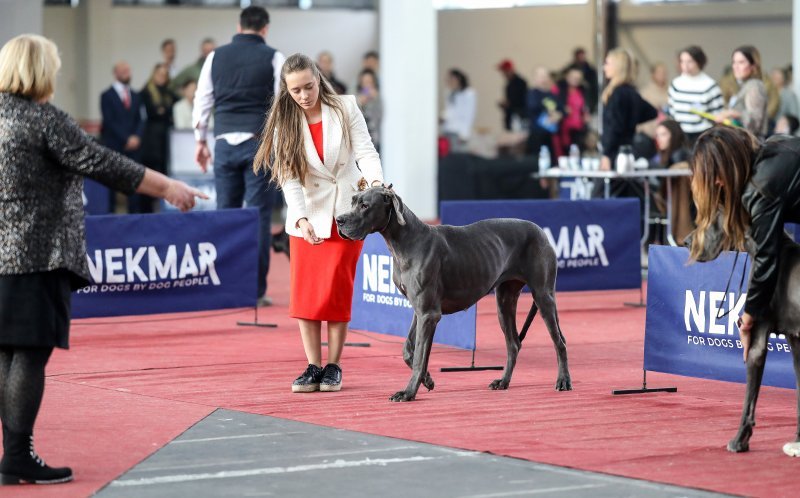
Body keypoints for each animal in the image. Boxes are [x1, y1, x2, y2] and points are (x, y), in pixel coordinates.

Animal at [334, 187, 572, 400]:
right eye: (353, 201)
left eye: (365, 206)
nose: (339, 220)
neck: (405, 241)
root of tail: (541, 231)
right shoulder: (420, 311)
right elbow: (408, 350)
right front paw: (427, 379)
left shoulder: (429, 313)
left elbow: (420, 356)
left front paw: (408, 392)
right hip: (504, 302)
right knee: (513, 344)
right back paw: (503, 381)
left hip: (543, 296)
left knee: (559, 342)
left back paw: (563, 381)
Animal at [688, 215, 800, 456]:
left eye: (711, 221)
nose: (686, 241)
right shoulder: (796, 342)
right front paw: (797, 441)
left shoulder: (756, 340)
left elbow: (748, 401)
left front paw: (739, 440)